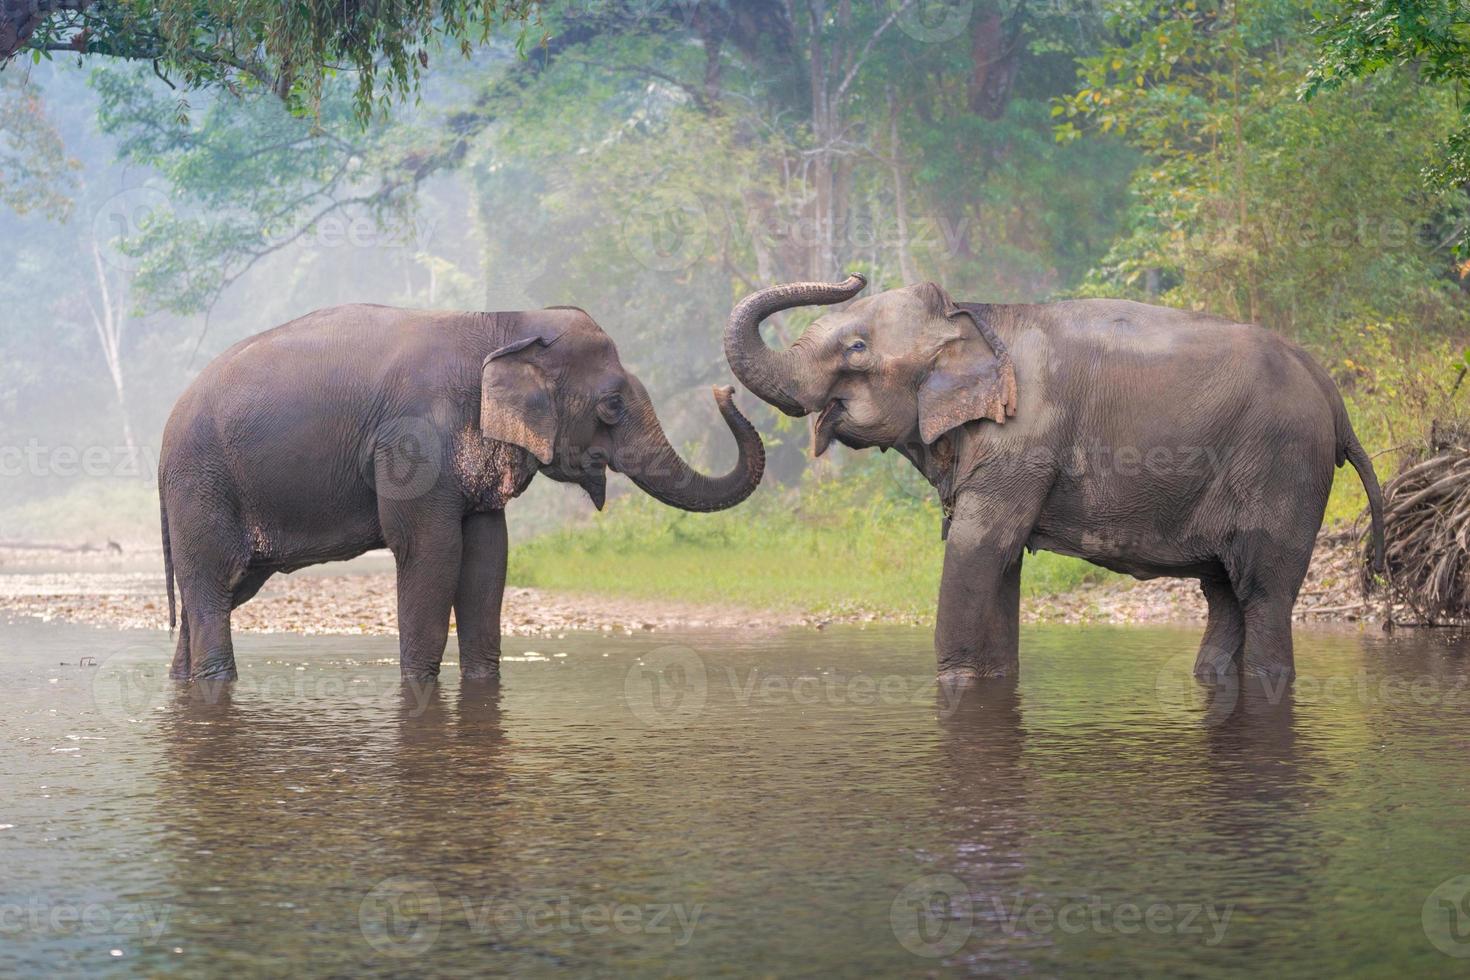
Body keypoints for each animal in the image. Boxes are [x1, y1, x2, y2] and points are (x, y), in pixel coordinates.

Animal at [160, 304, 764, 681]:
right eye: (612, 405)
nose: (725, 390)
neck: (503, 322)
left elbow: (487, 558)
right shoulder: (411, 445)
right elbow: (431, 552)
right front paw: (419, 689)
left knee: (219, 592)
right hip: (202, 485)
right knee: (212, 587)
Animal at [729, 271, 1381, 678]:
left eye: (857, 348)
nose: (854, 274)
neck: (977, 317)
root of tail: (1333, 395)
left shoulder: (1024, 438)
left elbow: (978, 549)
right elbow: (1000, 564)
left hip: (1283, 469)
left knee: (1263, 592)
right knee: (1223, 594)